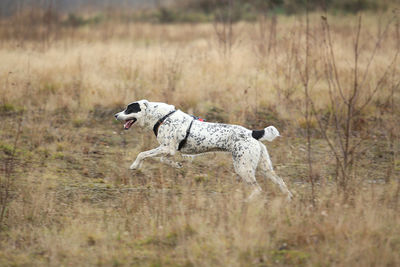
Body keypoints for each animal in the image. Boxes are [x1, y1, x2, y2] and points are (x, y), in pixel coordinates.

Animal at [114, 100, 292, 201]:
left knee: (258, 189)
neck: (162, 116)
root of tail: (252, 133)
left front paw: (135, 165)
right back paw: (289, 197)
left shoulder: (167, 147)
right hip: (264, 167)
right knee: (280, 181)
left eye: (129, 109)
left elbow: (142, 154)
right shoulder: (169, 150)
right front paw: (177, 165)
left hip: (243, 168)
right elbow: (164, 160)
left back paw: (248, 201)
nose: (115, 115)